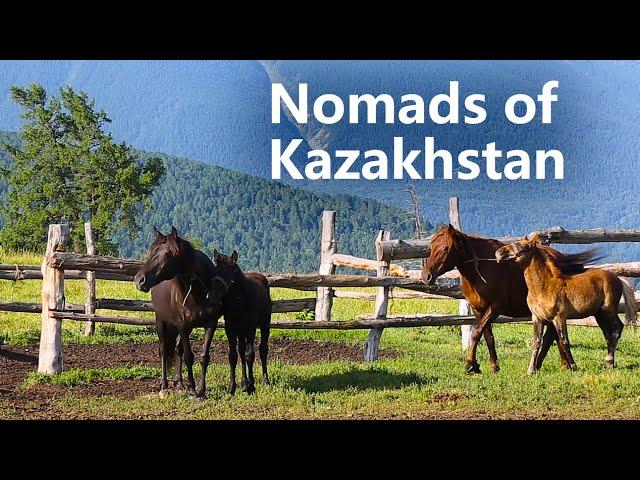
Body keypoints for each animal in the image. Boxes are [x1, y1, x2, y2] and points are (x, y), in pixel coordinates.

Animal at [133, 227, 222, 400]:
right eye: (151, 251)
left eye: (167, 253)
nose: (139, 280)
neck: (197, 290)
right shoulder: (183, 325)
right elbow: (189, 356)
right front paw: (193, 390)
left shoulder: (210, 324)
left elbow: (203, 356)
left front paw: (201, 390)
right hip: (161, 322)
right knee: (163, 351)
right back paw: (164, 386)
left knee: (177, 350)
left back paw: (179, 384)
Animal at [210, 249, 270, 396]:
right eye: (215, 270)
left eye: (227, 271)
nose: (212, 296)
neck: (239, 301)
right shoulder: (230, 328)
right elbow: (233, 356)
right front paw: (232, 387)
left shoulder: (251, 328)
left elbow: (250, 355)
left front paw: (252, 386)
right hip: (240, 330)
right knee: (241, 351)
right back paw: (244, 383)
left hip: (265, 324)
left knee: (262, 350)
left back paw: (265, 381)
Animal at [422, 225, 596, 376]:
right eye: (431, 246)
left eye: (446, 247)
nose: (426, 276)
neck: (481, 270)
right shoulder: (478, 309)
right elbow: (488, 336)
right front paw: (493, 366)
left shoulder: (495, 307)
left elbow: (476, 333)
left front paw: (470, 365)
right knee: (552, 335)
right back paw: (560, 364)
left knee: (551, 336)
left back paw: (552, 364)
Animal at [496, 234, 636, 374]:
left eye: (523, 247)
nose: (499, 253)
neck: (544, 287)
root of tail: (617, 278)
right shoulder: (537, 318)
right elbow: (536, 342)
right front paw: (530, 371)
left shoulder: (559, 318)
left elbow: (564, 341)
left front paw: (573, 366)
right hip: (599, 314)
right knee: (608, 333)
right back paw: (608, 363)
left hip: (609, 310)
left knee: (616, 329)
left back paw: (610, 362)